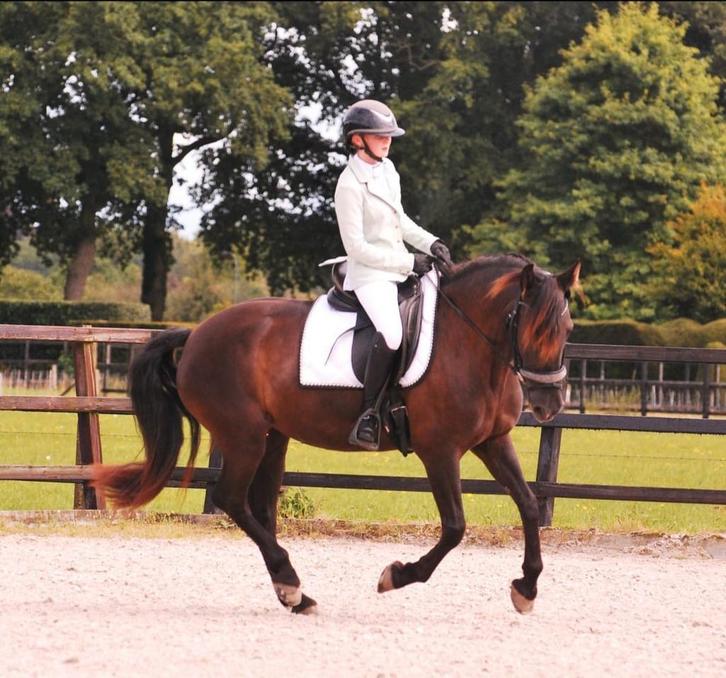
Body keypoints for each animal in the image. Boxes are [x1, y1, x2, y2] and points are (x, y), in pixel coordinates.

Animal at [92, 254, 580, 615]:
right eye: (534, 327)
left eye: (568, 328)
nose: (550, 403)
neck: (468, 343)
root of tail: (196, 334)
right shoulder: (440, 452)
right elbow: (456, 527)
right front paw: (397, 575)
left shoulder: (492, 442)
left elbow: (529, 505)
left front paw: (526, 588)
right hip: (243, 436)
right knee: (232, 499)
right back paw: (291, 583)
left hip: (273, 437)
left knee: (260, 507)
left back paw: (292, 592)